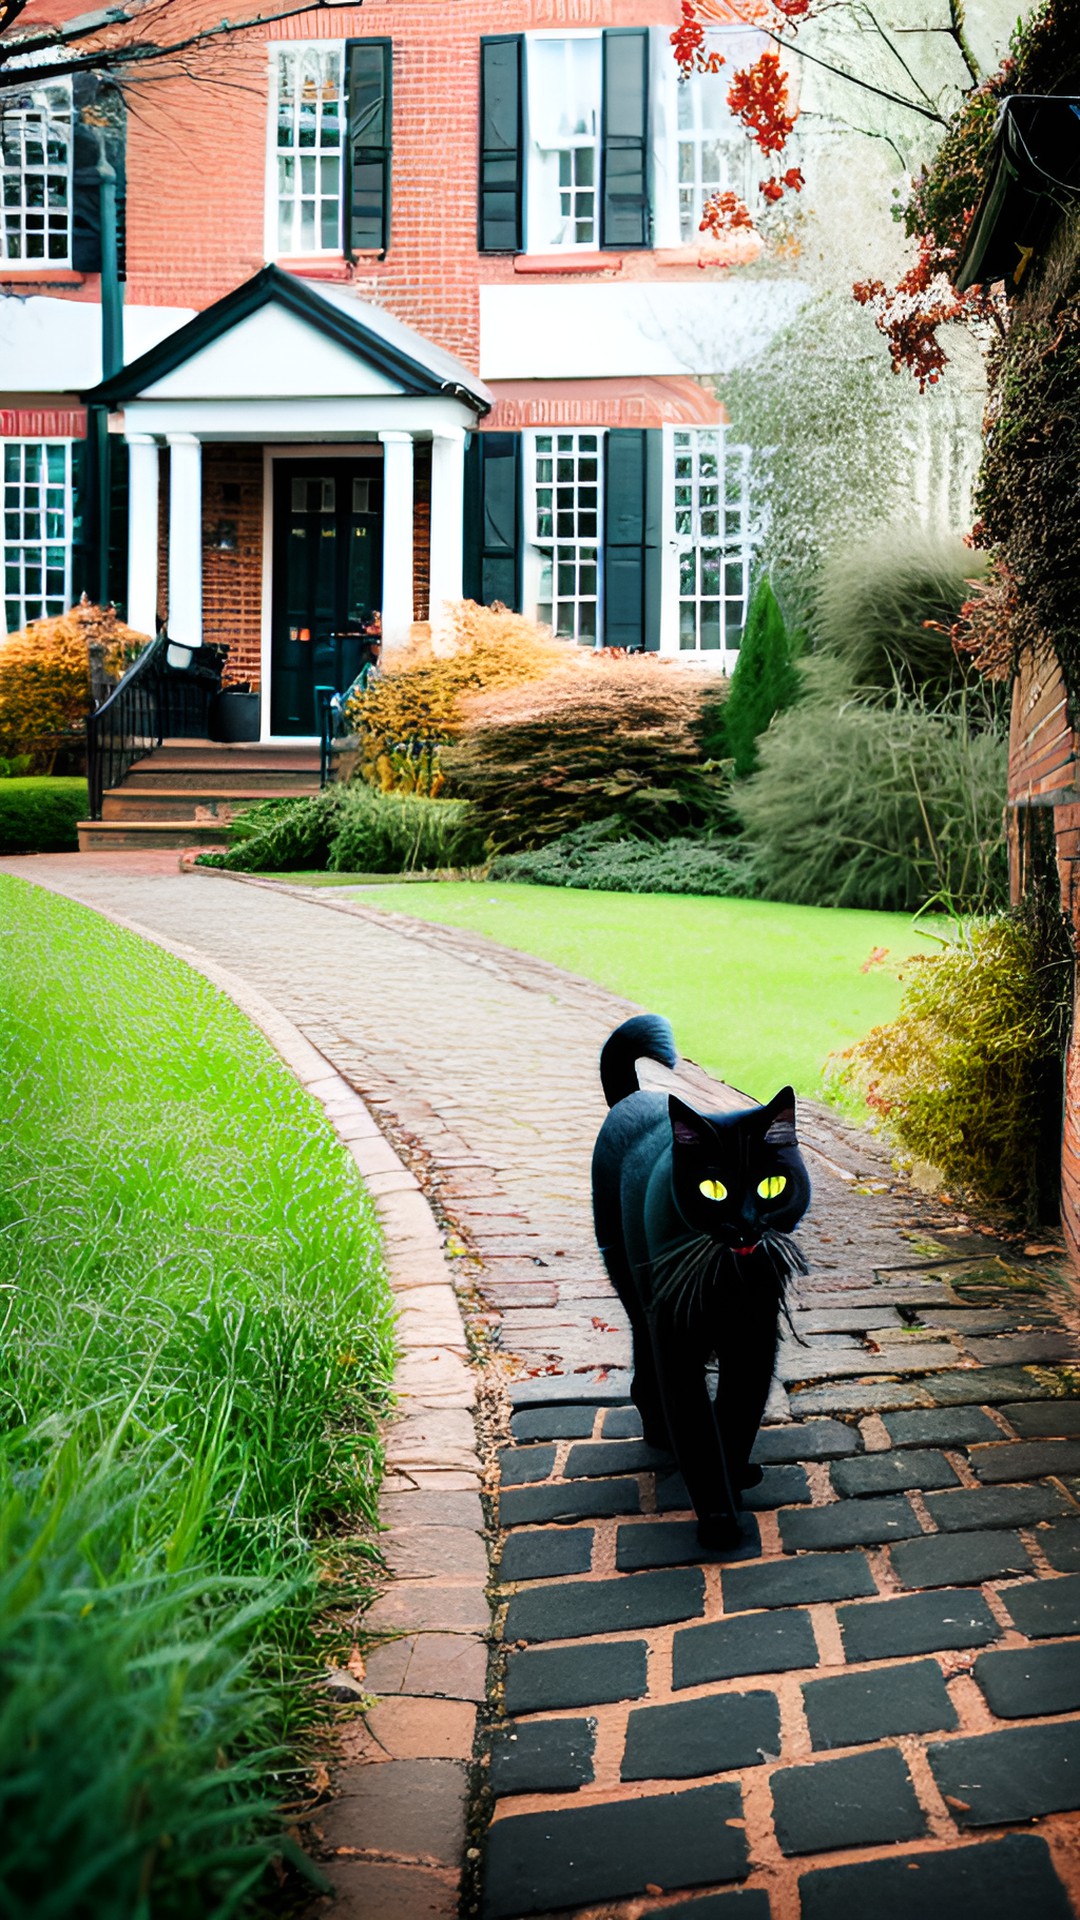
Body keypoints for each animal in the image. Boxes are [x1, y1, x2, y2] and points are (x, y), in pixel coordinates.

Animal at [588, 1013, 807, 1551]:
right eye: (713, 1189)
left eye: (772, 1185)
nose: (746, 1224)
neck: (729, 1280)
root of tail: (633, 1098)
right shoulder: (675, 1337)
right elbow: (696, 1426)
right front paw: (719, 1524)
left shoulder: (754, 1338)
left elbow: (735, 1416)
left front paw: (734, 1478)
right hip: (633, 1288)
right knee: (645, 1369)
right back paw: (658, 1433)